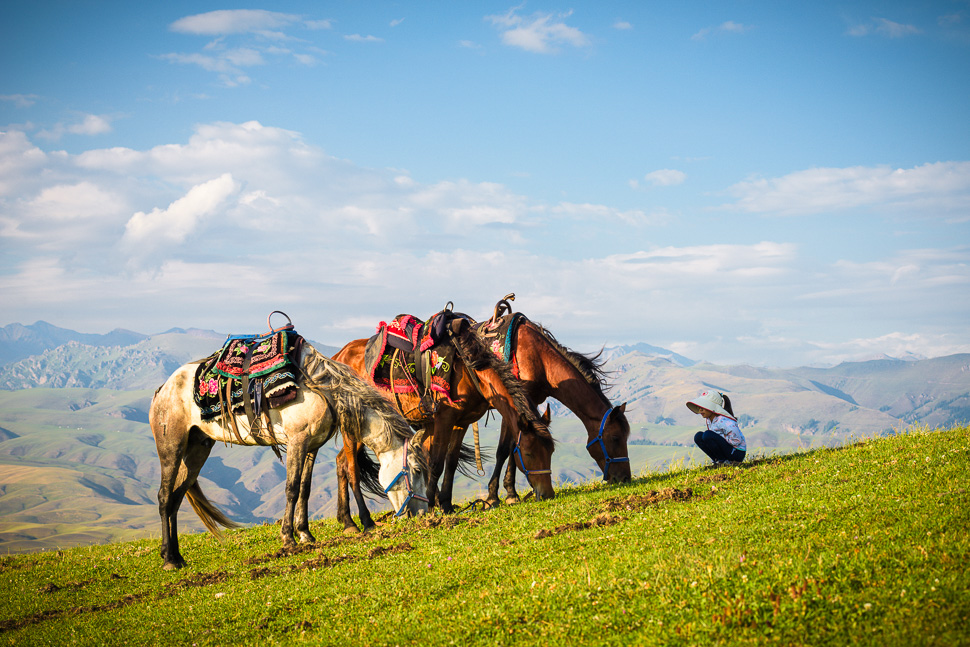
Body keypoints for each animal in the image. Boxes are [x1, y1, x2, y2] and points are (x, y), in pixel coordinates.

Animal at [148, 342, 428, 568]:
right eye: (416, 470)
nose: (422, 514)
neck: (323, 390)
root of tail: (162, 389)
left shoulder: (311, 446)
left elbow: (305, 487)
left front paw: (305, 534)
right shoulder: (297, 441)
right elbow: (292, 488)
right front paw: (288, 539)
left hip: (197, 449)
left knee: (176, 498)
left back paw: (177, 556)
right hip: (171, 448)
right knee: (164, 497)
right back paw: (169, 560)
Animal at [330, 310, 552, 532]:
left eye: (551, 452)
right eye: (529, 453)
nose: (547, 494)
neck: (468, 368)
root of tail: (337, 357)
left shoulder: (462, 421)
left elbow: (451, 461)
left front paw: (445, 504)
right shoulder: (444, 419)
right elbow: (436, 463)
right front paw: (431, 505)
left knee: (341, 462)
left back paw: (347, 520)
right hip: (354, 427)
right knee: (352, 469)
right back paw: (365, 521)